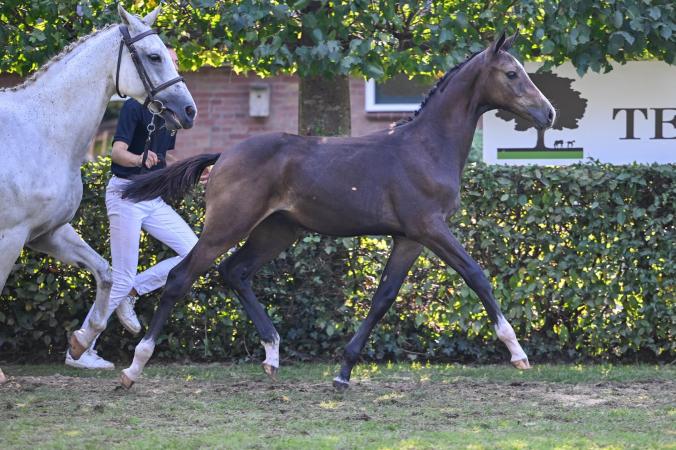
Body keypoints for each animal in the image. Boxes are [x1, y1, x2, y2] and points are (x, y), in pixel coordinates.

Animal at [0, 4, 195, 384]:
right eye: (154, 56)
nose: (189, 110)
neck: (41, 131)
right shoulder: (10, 235)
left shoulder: (45, 232)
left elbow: (105, 273)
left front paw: (80, 343)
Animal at [120, 32, 556, 390]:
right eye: (511, 73)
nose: (548, 113)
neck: (427, 147)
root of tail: (224, 154)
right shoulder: (430, 228)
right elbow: (476, 276)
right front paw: (517, 352)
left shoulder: (408, 238)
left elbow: (383, 297)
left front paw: (343, 372)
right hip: (227, 226)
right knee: (181, 277)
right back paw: (134, 367)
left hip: (277, 230)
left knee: (235, 271)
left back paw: (272, 355)